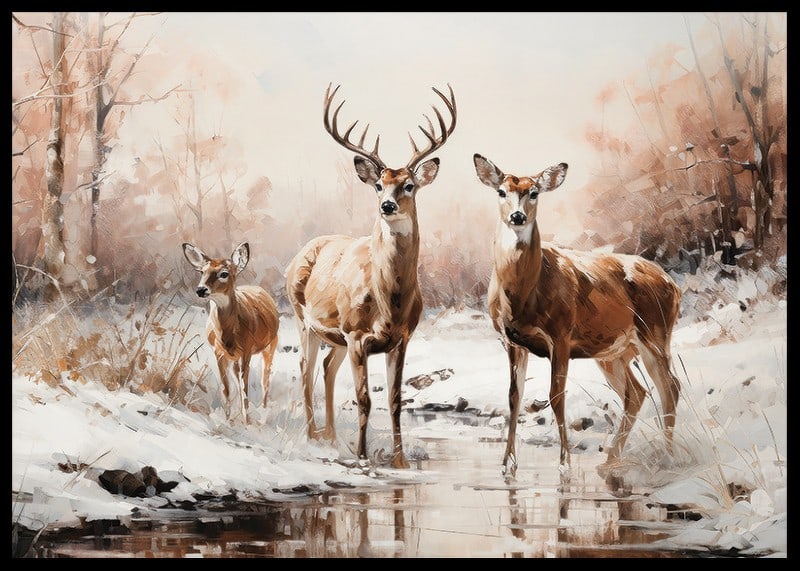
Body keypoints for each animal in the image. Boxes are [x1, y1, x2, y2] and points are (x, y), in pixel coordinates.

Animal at [182, 241, 280, 424]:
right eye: (202, 271)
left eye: (224, 273)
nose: (201, 289)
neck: (226, 335)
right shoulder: (218, 352)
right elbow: (226, 389)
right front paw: (228, 420)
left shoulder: (247, 350)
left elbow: (245, 388)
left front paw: (246, 422)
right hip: (235, 358)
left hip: (271, 345)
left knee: (265, 380)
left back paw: (264, 413)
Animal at [285, 82, 457, 469]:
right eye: (378, 185)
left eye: (408, 185)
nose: (387, 206)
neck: (389, 301)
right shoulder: (356, 335)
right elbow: (364, 399)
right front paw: (363, 458)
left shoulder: (401, 338)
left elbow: (394, 401)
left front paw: (400, 461)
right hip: (304, 319)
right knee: (305, 369)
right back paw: (311, 438)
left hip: (334, 337)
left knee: (327, 369)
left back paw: (332, 438)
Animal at [472, 154, 682, 484]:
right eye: (501, 191)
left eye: (534, 192)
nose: (517, 217)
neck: (521, 299)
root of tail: (673, 284)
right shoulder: (511, 341)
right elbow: (514, 398)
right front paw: (507, 465)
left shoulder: (560, 335)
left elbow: (556, 396)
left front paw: (564, 465)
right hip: (614, 352)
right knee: (637, 393)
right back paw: (611, 459)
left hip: (655, 333)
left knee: (670, 386)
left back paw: (667, 456)